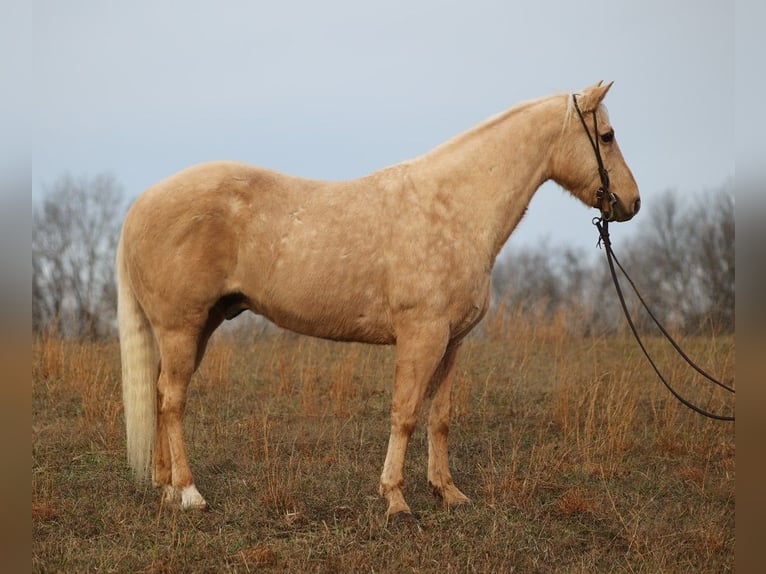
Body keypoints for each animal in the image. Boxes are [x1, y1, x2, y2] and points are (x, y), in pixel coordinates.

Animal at [115, 82, 640, 520]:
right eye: (608, 135)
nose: (631, 203)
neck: (454, 208)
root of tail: (141, 204)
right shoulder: (421, 336)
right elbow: (404, 414)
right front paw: (396, 500)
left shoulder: (452, 342)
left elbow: (439, 417)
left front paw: (448, 493)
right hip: (182, 327)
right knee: (173, 400)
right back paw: (189, 493)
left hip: (196, 327)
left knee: (160, 394)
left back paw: (166, 487)